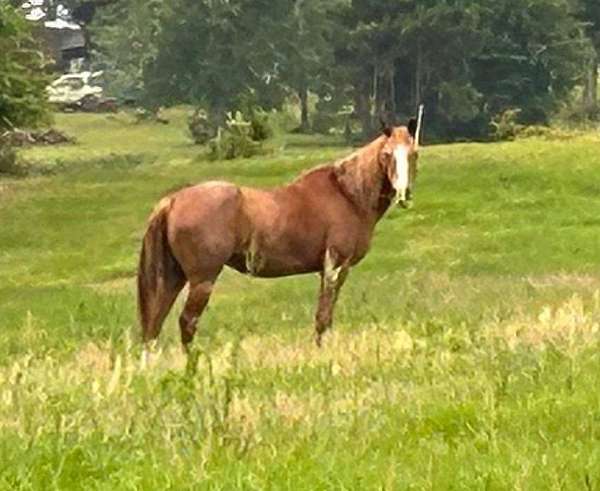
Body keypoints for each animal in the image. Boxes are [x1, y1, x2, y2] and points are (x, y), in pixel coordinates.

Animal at [138, 109, 424, 352]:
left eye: (414, 153)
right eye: (387, 154)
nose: (403, 194)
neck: (347, 194)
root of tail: (173, 200)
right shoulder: (335, 267)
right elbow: (323, 317)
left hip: (173, 278)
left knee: (154, 324)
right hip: (202, 280)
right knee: (186, 322)